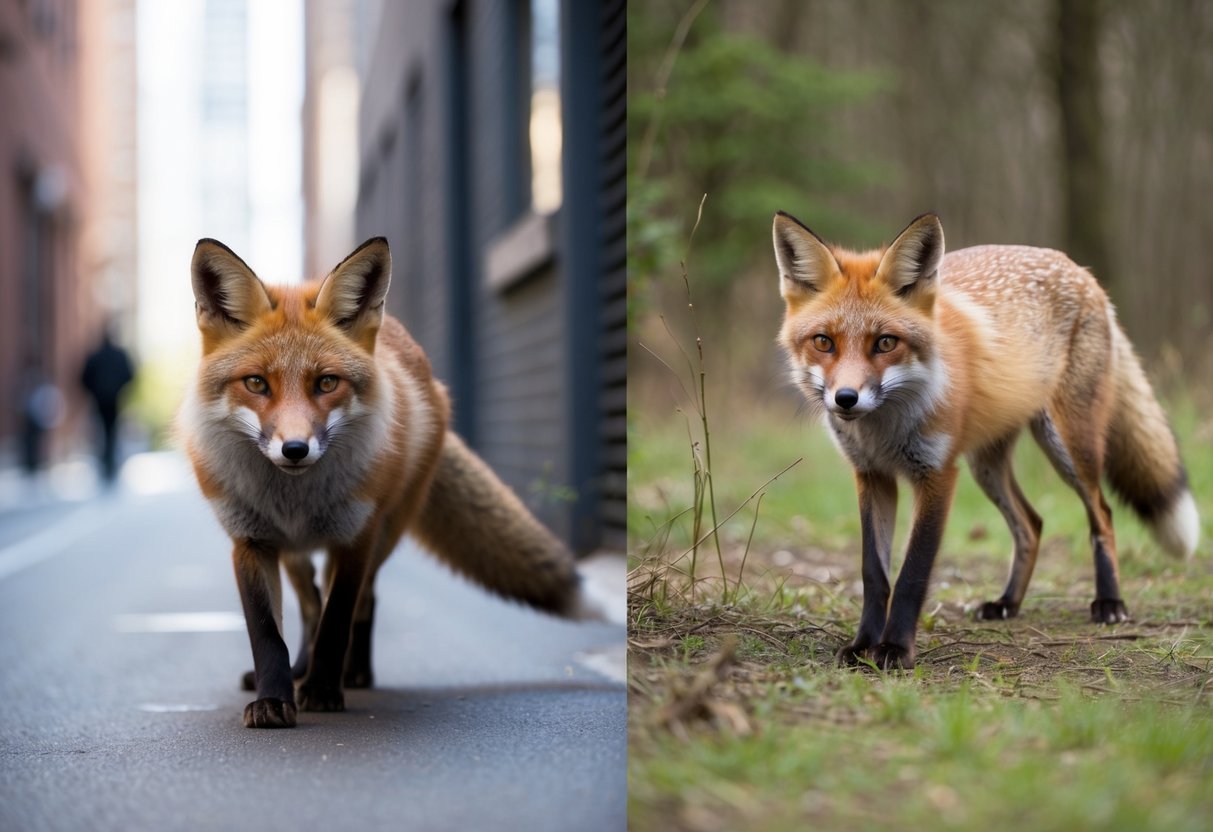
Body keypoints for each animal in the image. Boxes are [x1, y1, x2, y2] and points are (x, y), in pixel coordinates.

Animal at [180, 236, 600, 727]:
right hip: (296, 553)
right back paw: (301, 669)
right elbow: (268, 632)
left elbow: (338, 618)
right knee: (310, 603)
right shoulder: (250, 540)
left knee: (362, 603)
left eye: (326, 383)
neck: (297, 500)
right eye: (256, 383)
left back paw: (353, 674)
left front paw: (323, 690)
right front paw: (274, 699)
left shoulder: (356, 538)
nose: (296, 449)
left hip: (387, 531)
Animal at [771, 211, 1200, 670]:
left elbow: (911, 574)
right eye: (824, 342)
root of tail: (1080, 269)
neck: (884, 431)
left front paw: (895, 649)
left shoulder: (938, 473)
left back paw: (1109, 603)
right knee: (1031, 524)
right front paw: (863, 645)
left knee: (1101, 512)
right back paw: (1008, 603)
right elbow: (874, 573)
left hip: (1068, 445)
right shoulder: (872, 475)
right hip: (986, 465)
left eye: (885, 342)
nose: (846, 398)